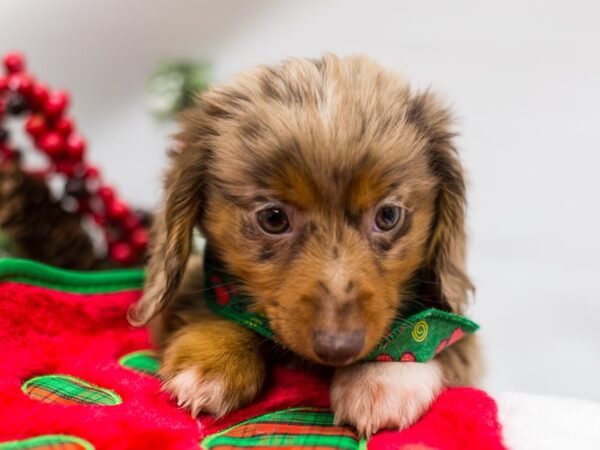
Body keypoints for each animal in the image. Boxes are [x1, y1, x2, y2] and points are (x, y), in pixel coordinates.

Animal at [129, 54, 480, 438]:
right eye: (273, 218)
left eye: (388, 215)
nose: (339, 347)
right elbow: (219, 305)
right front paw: (212, 357)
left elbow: (435, 338)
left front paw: (384, 375)